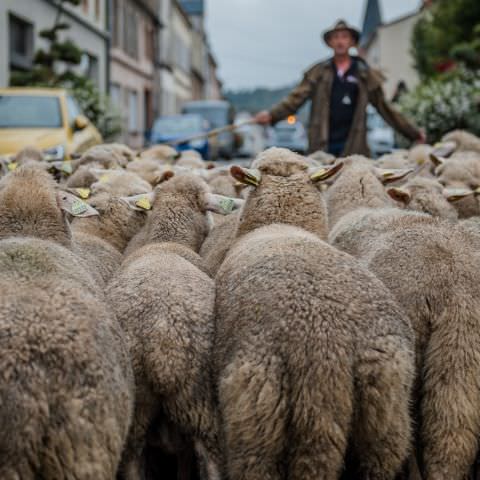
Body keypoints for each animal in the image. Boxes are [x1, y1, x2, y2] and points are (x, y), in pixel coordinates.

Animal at [106, 175, 238, 480]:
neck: (166, 241)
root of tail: (160, 339)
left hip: (136, 405)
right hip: (200, 399)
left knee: (132, 461)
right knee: (210, 458)